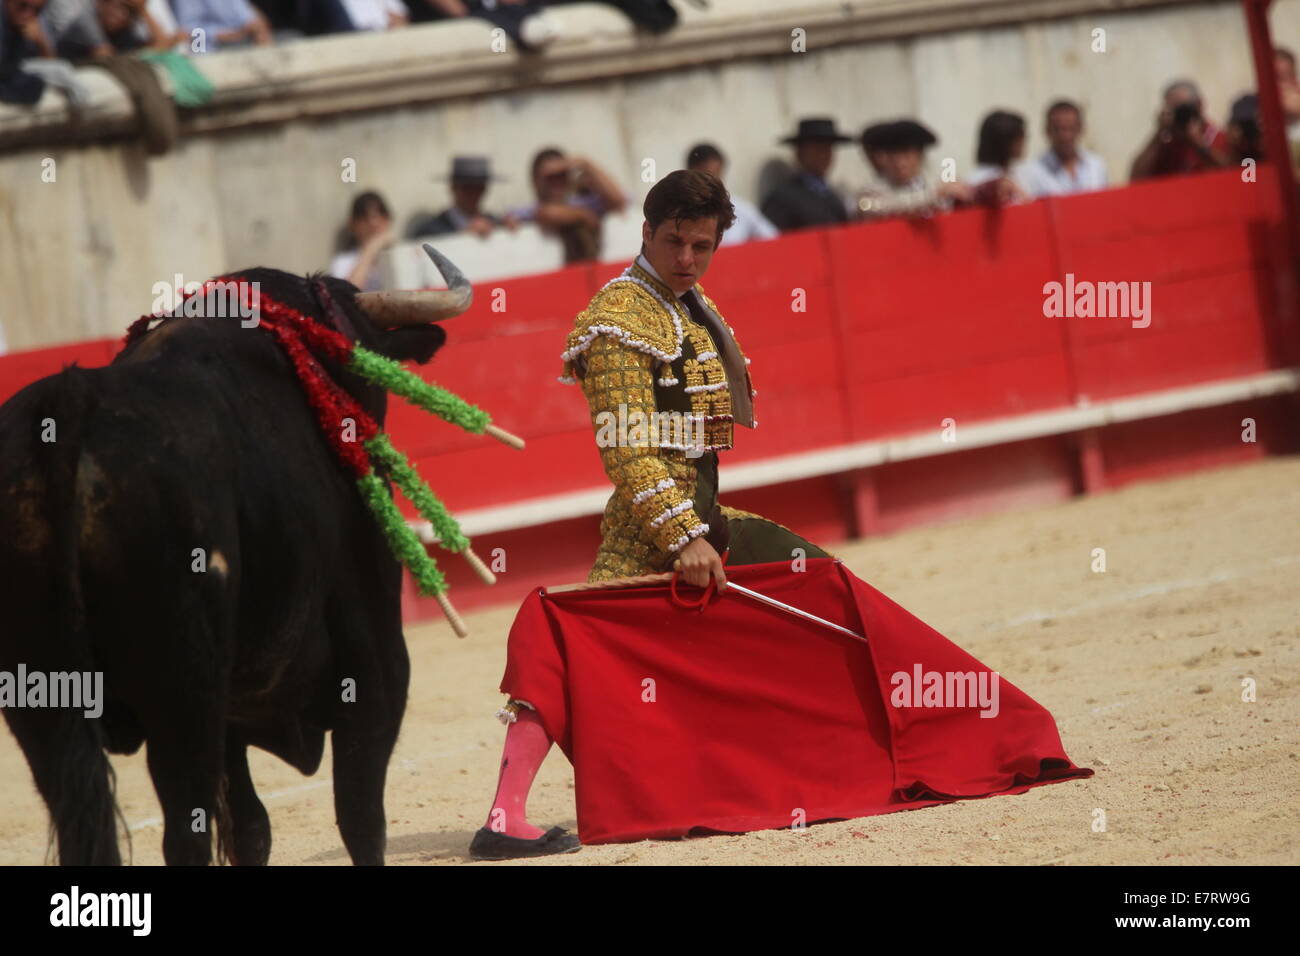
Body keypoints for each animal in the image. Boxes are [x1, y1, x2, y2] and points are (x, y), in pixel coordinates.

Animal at [0, 267, 457, 868]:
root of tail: (71, 404)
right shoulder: (375, 665)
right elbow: (360, 816)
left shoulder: (234, 715)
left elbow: (250, 828)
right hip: (182, 687)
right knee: (184, 830)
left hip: (40, 697)